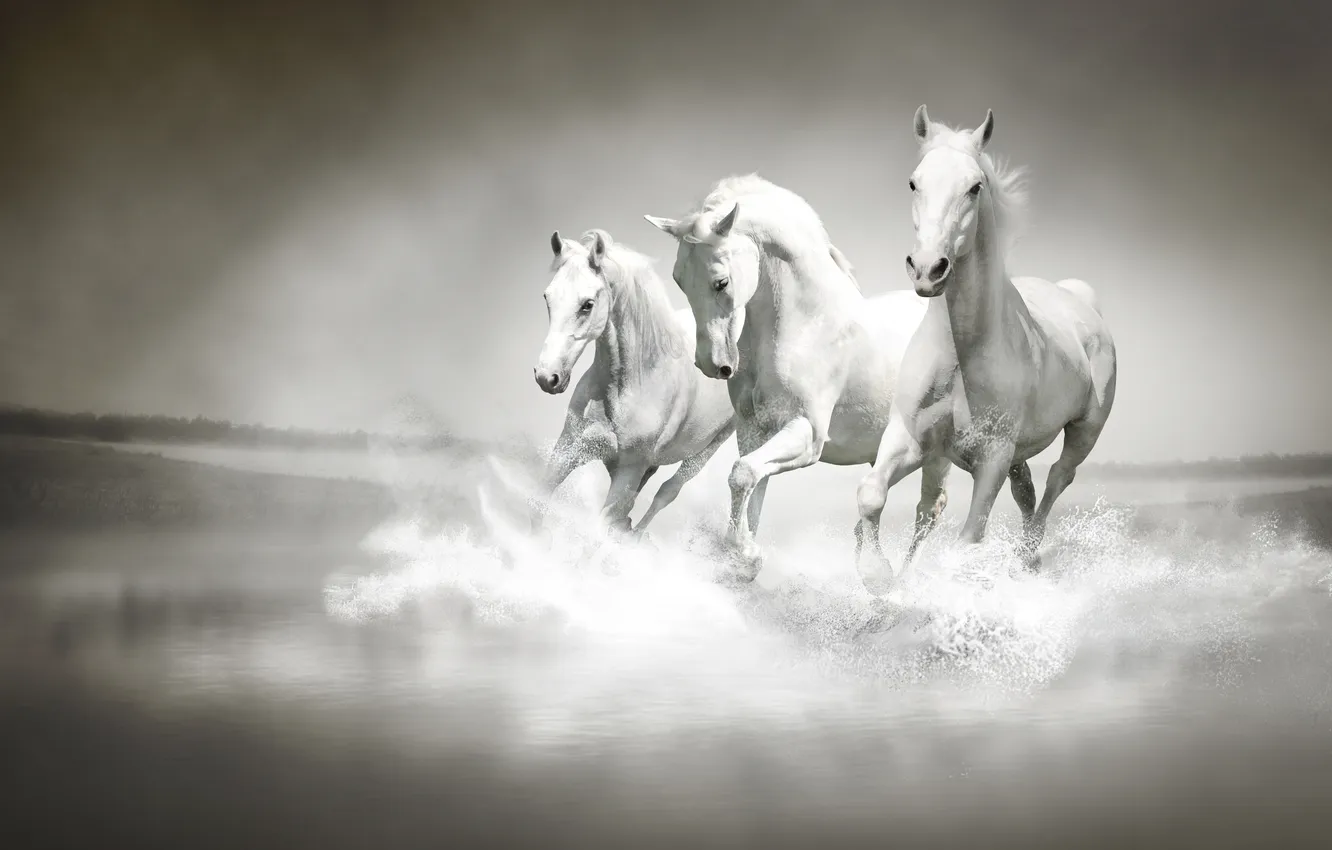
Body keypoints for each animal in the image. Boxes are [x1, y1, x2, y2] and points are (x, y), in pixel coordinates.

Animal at [531, 228, 736, 537]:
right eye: (547, 297)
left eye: (587, 305)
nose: (547, 377)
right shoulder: (569, 449)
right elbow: (538, 505)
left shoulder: (628, 471)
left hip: (708, 449)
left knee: (667, 492)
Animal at [643, 175, 950, 583]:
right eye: (679, 280)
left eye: (721, 282)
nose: (712, 364)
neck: (807, 326)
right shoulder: (755, 432)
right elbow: (751, 488)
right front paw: (744, 559)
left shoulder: (807, 434)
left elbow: (742, 475)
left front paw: (746, 555)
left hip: (937, 452)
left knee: (929, 509)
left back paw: (895, 583)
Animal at [855, 105, 1118, 584]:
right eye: (914, 182)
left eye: (974, 187)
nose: (928, 269)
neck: (962, 354)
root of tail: (1080, 301)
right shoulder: (912, 438)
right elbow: (872, 494)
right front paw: (879, 576)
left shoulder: (992, 457)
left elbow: (969, 538)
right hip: (1010, 454)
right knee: (1024, 489)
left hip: (1084, 432)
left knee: (1057, 480)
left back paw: (1027, 557)